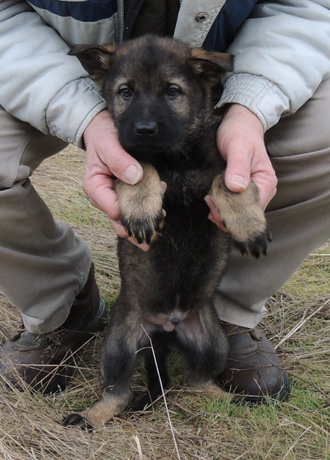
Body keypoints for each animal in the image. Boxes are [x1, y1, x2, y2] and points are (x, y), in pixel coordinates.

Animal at [63, 35, 270, 428]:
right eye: (125, 92)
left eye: (173, 91)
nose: (144, 129)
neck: (174, 157)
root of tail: (165, 330)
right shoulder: (126, 158)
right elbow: (139, 167)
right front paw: (142, 210)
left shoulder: (221, 169)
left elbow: (229, 184)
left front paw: (249, 226)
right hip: (118, 343)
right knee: (117, 393)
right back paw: (88, 416)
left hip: (212, 341)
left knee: (198, 381)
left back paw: (232, 400)